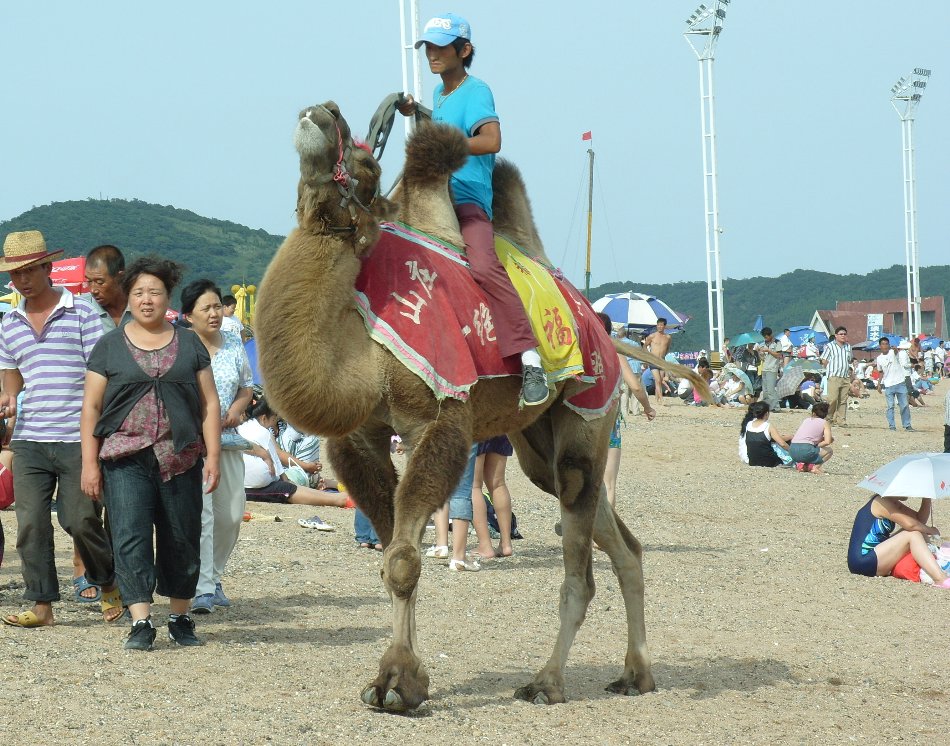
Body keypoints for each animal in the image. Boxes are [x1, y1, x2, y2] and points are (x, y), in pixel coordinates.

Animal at [253, 101, 708, 712]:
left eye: (369, 165)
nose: (322, 112)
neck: (362, 351)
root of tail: (603, 331)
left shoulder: (440, 416)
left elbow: (402, 560)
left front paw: (398, 682)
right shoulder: (361, 437)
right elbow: (393, 552)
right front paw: (400, 679)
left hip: (590, 411)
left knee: (580, 565)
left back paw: (547, 681)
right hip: (538, 447)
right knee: (622, 542)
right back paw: (636, 673)